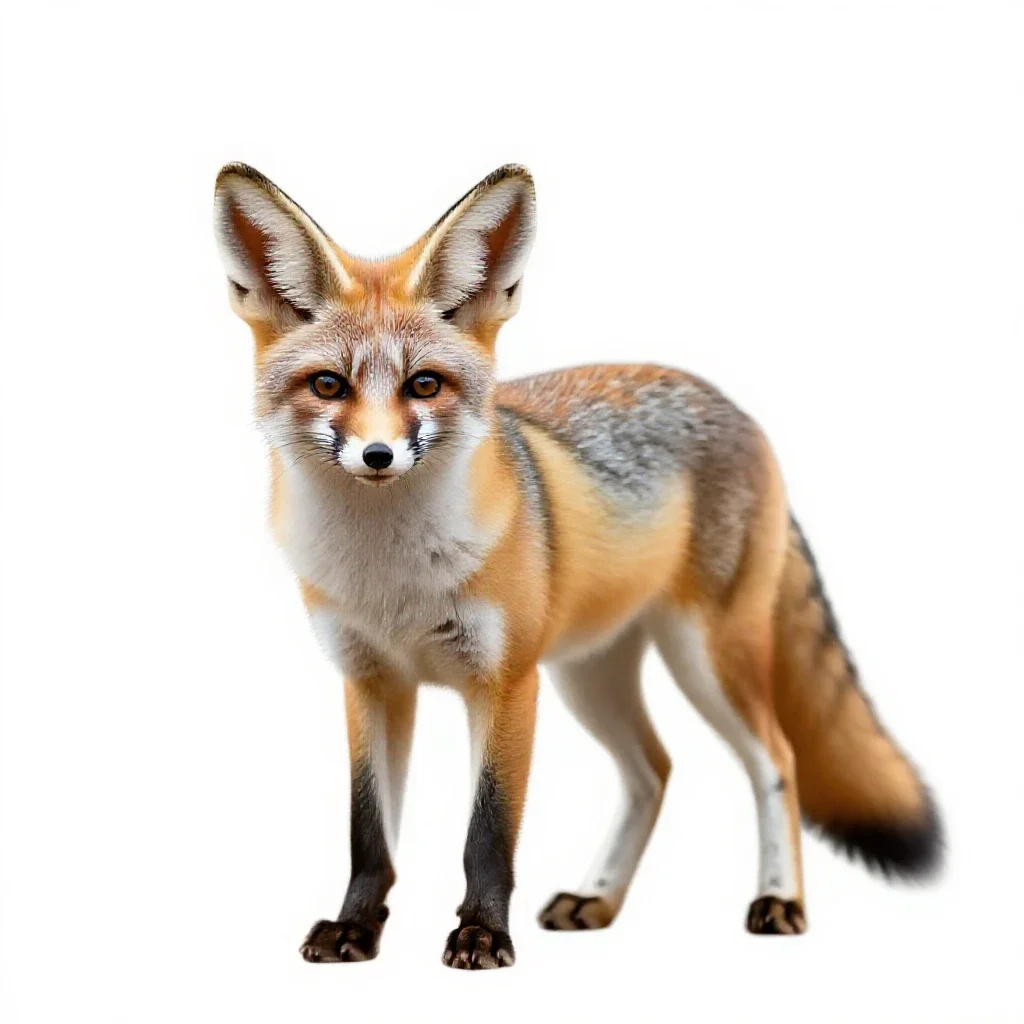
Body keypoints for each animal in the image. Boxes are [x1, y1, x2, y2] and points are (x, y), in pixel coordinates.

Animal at [212, 161, 942, 969]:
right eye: (328, 386)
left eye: (424, 385)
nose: (378, 456)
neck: (391, 579)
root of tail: (731, 404)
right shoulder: (371, 682)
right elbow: (369, 834)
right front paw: (355, 930)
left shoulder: (505, 682)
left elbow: (488, 832)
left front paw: (482, 935)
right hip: (591, 676)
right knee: (653, 771)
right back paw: (597, 898)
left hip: (706, 658)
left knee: (775, 759)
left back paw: (779, 901)